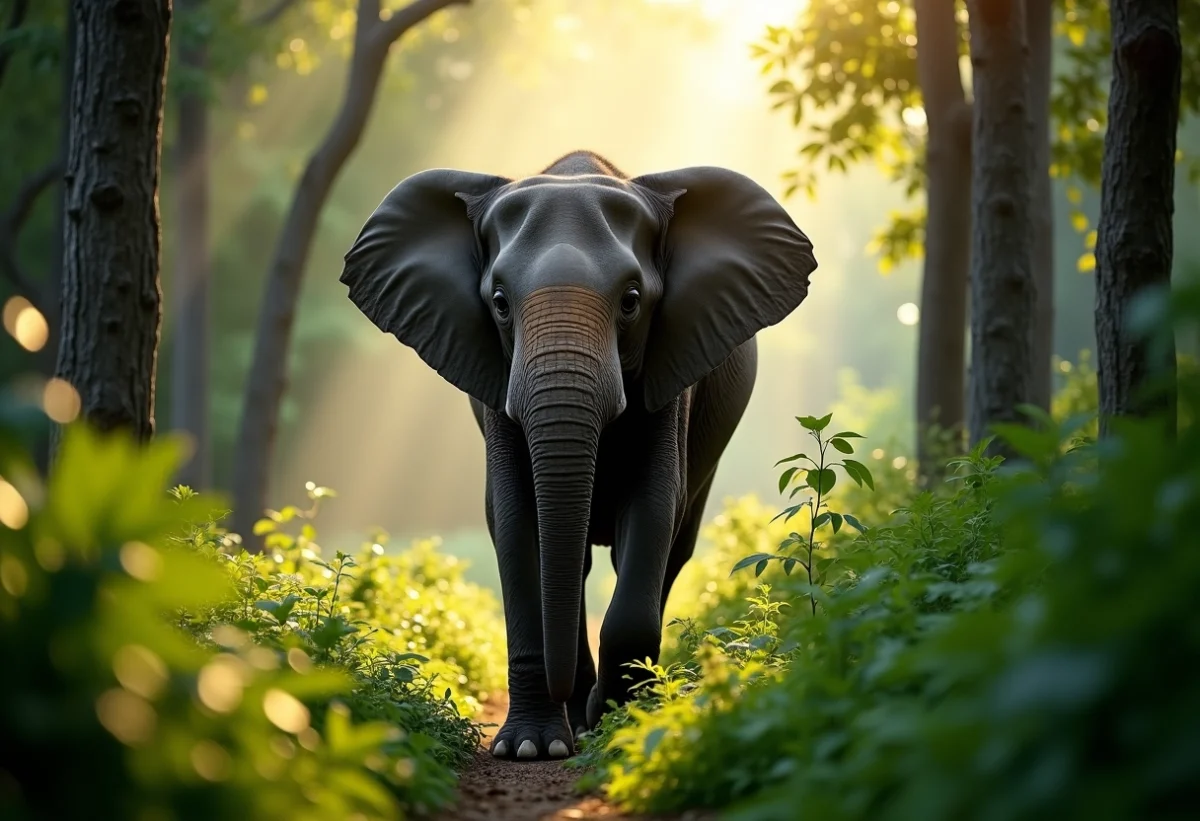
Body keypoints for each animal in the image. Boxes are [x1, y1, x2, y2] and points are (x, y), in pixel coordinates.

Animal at [338, 150, 816, 758]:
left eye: (632, 302)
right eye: (499, 304)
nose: (573, 700)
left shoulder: (670, 374)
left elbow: (653, 505)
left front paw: (615, 727)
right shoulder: (496, 385)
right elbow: (515, 517)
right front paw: (532, 748)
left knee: (673, 548)